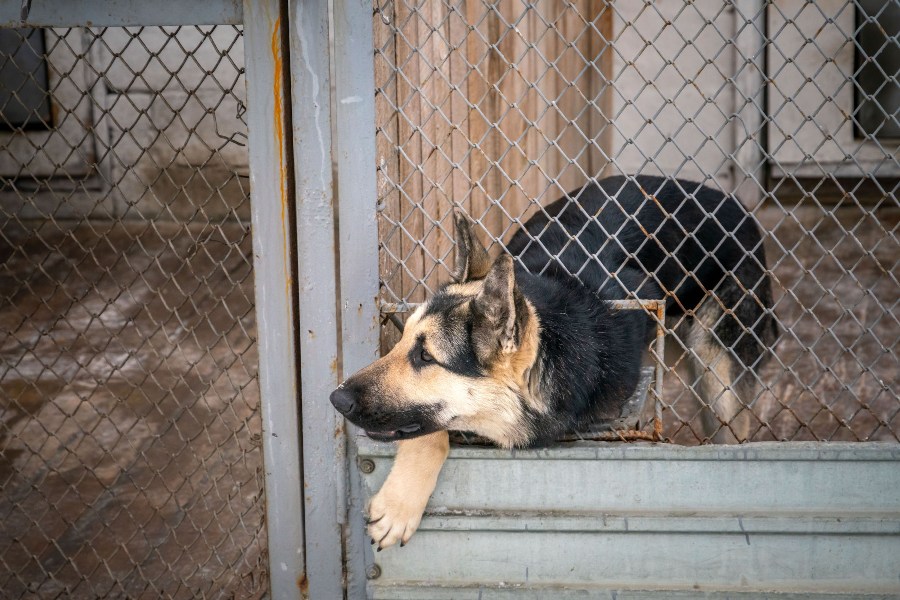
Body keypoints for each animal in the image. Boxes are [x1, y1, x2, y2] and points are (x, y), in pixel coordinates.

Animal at [332, 173, 780, 548]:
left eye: (426, 356)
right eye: (403, 341)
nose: (337, 399)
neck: (559, 328)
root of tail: (733, 203)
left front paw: (397, 506)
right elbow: (430, 428)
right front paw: (400, 503)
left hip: (716, 364)